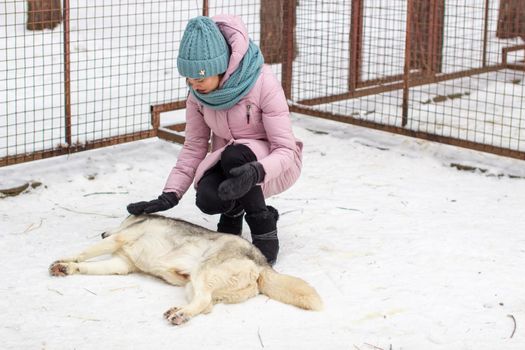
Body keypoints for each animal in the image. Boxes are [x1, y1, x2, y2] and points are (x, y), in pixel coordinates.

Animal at [49, 213, 322, 326]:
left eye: (119, 221)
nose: (103, 232)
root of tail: (262, 262)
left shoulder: (119, 239)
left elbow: (86, 251)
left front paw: (65, 258)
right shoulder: (120, 264)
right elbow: (86, 265)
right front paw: (67, 268)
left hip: (202, 274)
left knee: (203, 302)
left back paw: (180, 315)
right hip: (194, 284)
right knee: (207, 305)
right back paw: (181, 312)